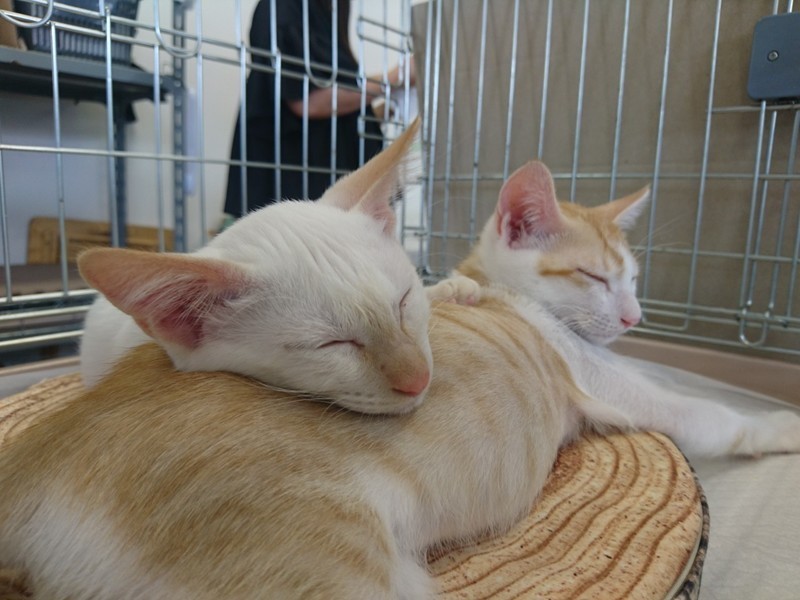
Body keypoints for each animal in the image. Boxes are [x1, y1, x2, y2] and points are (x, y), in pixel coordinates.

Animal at [452, 159, 800, 457]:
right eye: (594, 276)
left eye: (632, 278)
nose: (633, 318)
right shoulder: (592, 375)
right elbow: (706, 415)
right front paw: (780, 427)